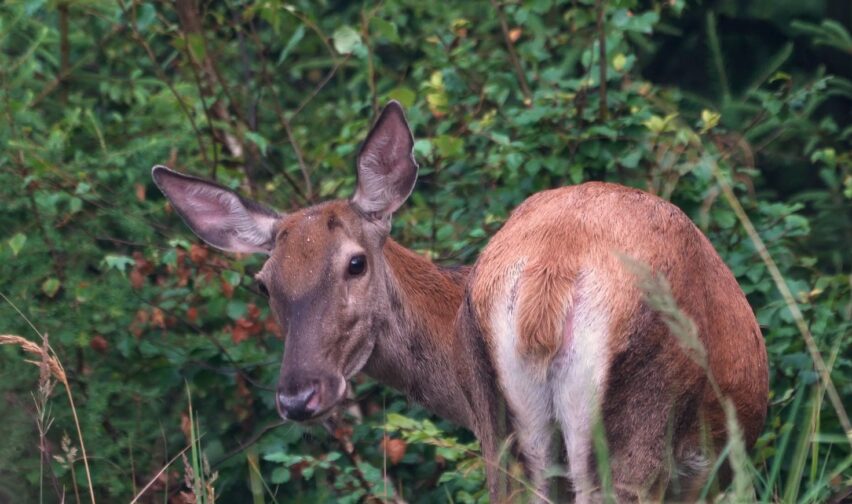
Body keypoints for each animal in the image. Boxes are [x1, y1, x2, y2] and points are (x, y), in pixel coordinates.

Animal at [153, 100, 772, 502]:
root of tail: (549, 279)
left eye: (355, 262)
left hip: (509, 436)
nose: (299, 395)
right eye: (265, 283)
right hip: (634, 427)